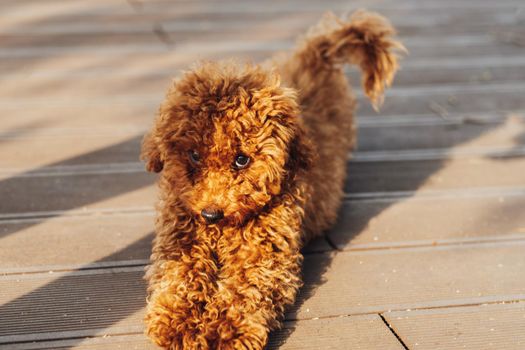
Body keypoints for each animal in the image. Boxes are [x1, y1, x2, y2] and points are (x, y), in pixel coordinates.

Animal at [139, 9, 402, 348]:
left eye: (242, 159)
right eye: (194, 156)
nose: (211, 214)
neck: (222, 231)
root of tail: (314, 56)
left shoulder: (265, 251)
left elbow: (247, 285)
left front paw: (226, 328)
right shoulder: (179, 234)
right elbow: (179, 272)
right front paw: (178, 321)